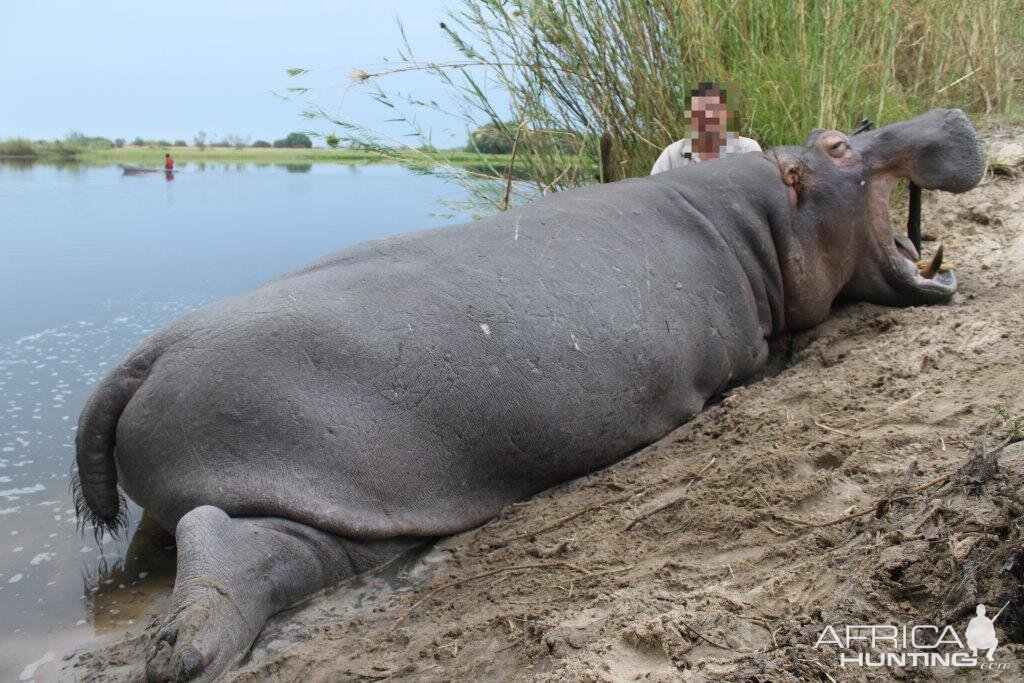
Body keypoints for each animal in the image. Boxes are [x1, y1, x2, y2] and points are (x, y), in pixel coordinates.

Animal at [72, 109, 983, 679]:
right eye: (838, 145)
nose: (950, 116)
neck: (757, 219)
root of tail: (145, 355)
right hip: (343, 491)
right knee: (243, 548)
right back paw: (187, 654)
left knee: (221, 541)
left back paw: (179, 643)